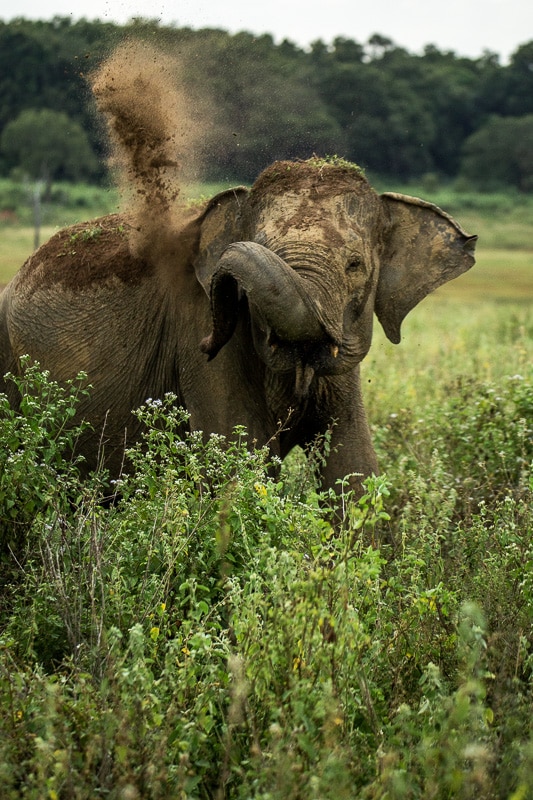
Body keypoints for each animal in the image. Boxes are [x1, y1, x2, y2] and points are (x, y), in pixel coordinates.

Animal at [0, 158, 476, 496]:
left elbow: (353, 465)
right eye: (262, 246)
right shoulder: (197, 333)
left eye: (355, 265)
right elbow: (239, 455)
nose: (209, 340)